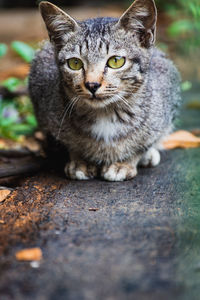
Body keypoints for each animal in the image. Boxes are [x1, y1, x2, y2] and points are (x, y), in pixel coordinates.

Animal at [29, 0, 181, 182]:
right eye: (74, 63)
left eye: (116, 61)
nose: (92, 85)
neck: (105, 113)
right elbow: (69, 143)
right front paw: (80, 160)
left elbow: (144, 143)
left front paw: (124, 163)